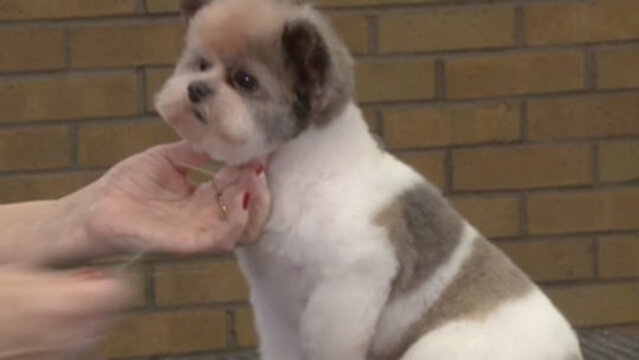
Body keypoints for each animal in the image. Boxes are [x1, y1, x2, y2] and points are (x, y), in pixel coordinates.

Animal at [156, 0, 584, 360]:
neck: (301, 172)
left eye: (245, 80)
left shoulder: (346, 292)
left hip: (438, 348)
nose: (196, 89)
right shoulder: (273, 307)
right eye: (200, 65)